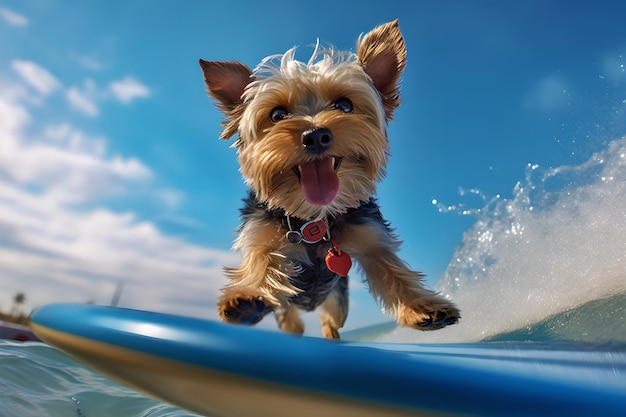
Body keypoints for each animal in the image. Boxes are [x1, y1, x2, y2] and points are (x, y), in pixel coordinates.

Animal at [200, 20, 458, 338]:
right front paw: (247, 296)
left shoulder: (369, 234)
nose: (315, 135)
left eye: (344, 106)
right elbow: (261, 259)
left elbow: (389, 266)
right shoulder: (261, 233)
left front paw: (420, 306)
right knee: (289, 318)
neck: (313, 220)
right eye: (277, 115)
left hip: (337, 302)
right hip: (288, 309)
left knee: (330, 319)